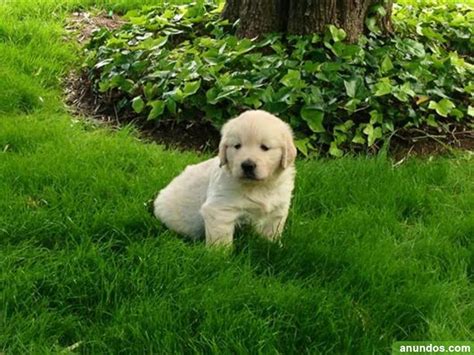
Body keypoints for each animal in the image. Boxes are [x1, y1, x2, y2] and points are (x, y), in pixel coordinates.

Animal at [154, 110, 296, 246]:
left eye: (265, 147)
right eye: (237, 146)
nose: (247, 165)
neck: (259, 186)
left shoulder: (278, 208)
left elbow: (271, 231)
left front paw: (271, 245)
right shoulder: (220, 209)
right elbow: (221, 241)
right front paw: (220, 254)